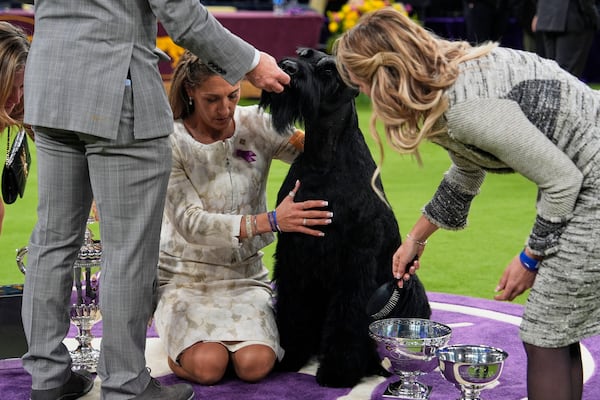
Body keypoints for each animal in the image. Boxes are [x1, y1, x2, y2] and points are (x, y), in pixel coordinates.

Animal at [260, 48, 428, 390]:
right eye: (301, 53)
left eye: (327, 70)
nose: (288, 67)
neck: (323, 158)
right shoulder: (294, 254)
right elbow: (292, 308)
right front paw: (290, 355)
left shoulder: (355, 262)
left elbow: (347, 317)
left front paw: (339, 371)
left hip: (409, 286)